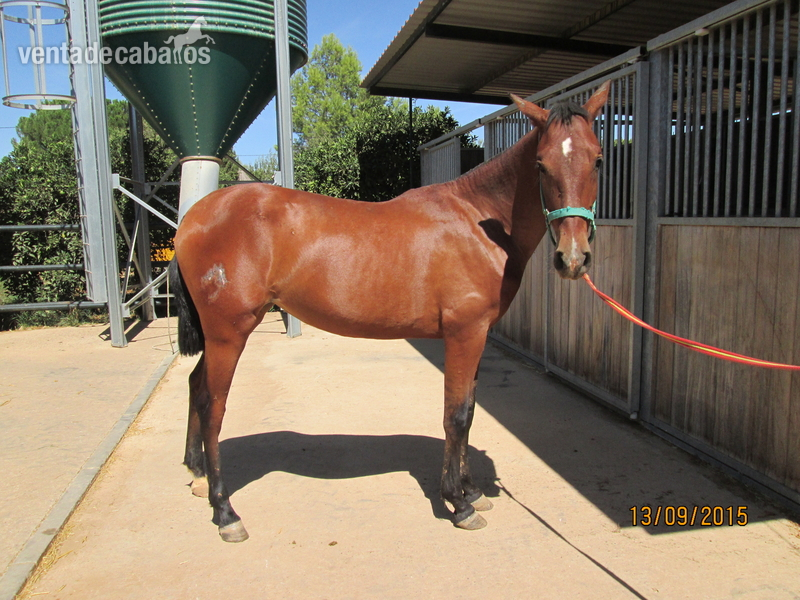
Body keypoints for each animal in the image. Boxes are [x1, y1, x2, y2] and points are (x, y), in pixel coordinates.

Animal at [169, 82, 610, 542]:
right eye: (541, 164)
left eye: (598, 159)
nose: (573, 258)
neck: (477, 222)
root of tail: (192, 219)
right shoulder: (464, 333)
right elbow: (456, 415)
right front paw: (458, 502)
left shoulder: (479, 334)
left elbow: (469, 412)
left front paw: (471, 490)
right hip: (229, 334)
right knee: (213, 406)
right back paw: (225, 511)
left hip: (218, 336)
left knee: (195, 385)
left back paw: (198, 475)